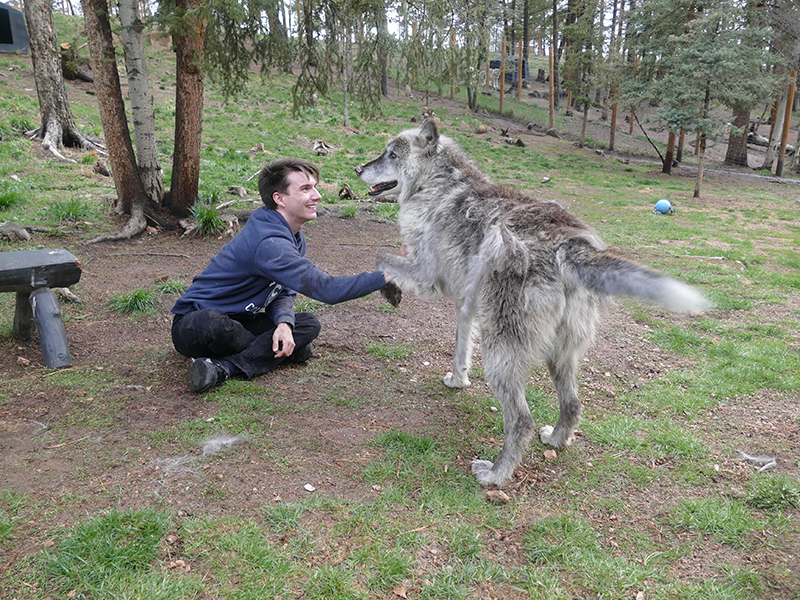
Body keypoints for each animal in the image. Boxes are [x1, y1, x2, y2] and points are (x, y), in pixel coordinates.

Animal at [355, 119, 710, 488]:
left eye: (391, 155)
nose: (357, 169)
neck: (437, 184)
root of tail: (568, 245)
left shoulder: (426, 278)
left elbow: (380, 259)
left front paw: (390, 290)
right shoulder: (466, 306)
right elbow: (460, 349)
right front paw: (457, 380)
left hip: (501, 356)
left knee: (521, 420)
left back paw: (496, 475)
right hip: (560, 353)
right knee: (572, 404)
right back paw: (555, 439)